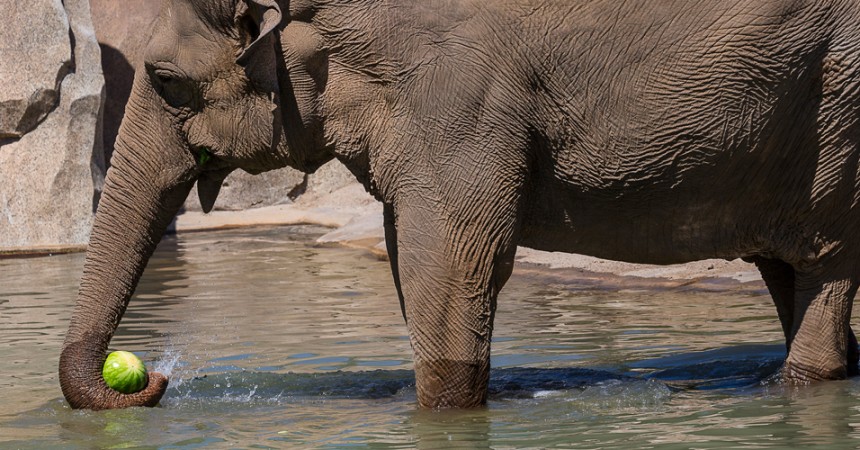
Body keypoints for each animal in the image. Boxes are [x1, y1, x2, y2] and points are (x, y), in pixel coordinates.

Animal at [60, 0, 860, 410]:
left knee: (826, 264)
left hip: (839, 100)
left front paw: (446, 408)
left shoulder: (460, 87)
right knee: (789, 269)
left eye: (164, 80)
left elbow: (447, 263)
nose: (157, 378)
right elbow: (409, 260)